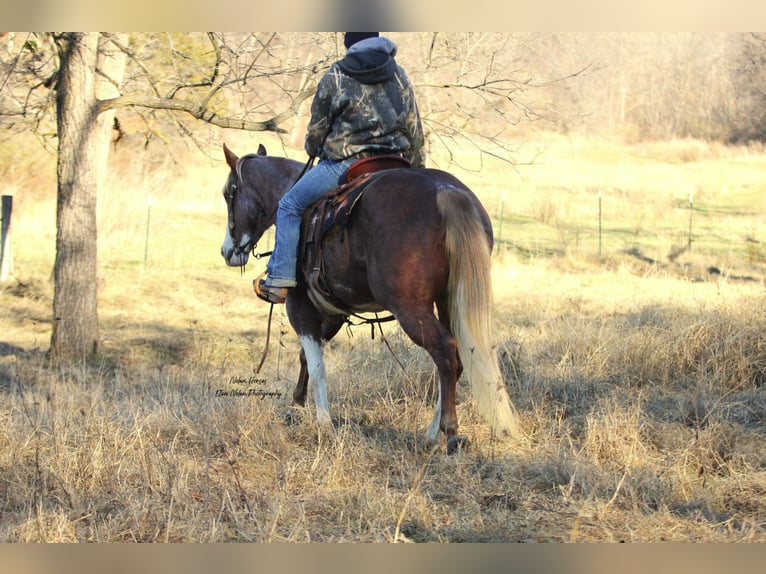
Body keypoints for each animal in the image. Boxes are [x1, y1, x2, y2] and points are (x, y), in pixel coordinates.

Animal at [222, 144, 520, 454]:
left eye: (228, 193)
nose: (227, 251)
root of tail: (447, 191)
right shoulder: (334, 311)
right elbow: (307, 357)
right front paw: (297, 409)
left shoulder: (300, 306)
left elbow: (317, 366)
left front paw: (323, 424)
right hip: (449, 301)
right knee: (457, 356)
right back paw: (431, 433)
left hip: (411, 310)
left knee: (444, 351)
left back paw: (449, 432)